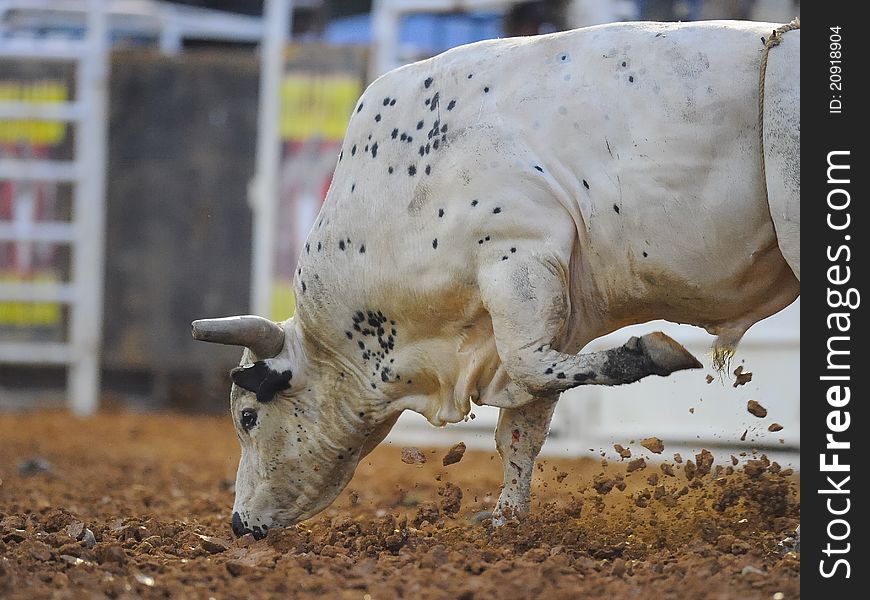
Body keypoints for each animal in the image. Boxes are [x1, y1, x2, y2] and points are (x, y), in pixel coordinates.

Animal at [192, 19, 804, 540]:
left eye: (248, 416)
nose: (239, 524)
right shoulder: (555, 314)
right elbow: (522, 423)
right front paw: (506, 523)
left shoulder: (517, 254)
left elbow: (531, 368)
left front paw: (650, 351)